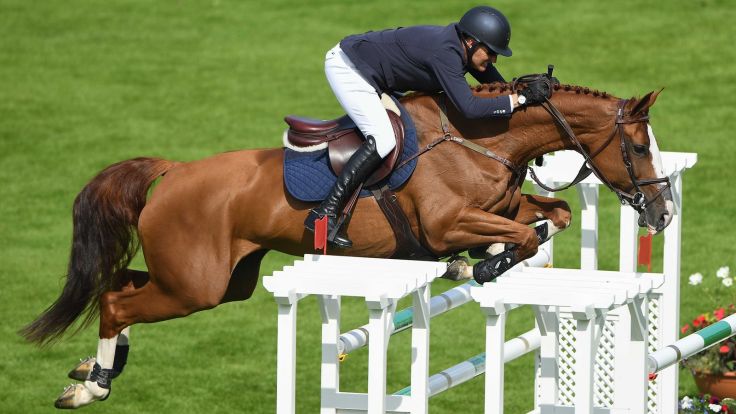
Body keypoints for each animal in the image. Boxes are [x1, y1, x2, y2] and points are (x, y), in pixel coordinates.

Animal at [20, 81, 673, 408]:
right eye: (641, 148)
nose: (663, 213)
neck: (479, 139)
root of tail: (175, 171)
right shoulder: (445, 224)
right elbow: (521, 234)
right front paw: (478, 267)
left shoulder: (500, 208)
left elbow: (553, 215)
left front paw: (480, 264)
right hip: (194, 286)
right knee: (115, 301)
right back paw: (91, 386)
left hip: (220, 281)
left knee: (118, 285)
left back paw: (92, 368)